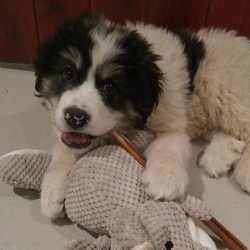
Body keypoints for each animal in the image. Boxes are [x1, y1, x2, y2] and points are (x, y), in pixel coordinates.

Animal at [34, 13, 250, 219]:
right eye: (68, 73)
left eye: (110, 86)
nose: (75, 116)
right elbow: (63, 148)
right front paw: (52, 191)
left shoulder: (171, 119)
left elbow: (170, 143)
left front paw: (165, 178)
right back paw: (219, 156)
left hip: (219, 83)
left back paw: (244, 171)